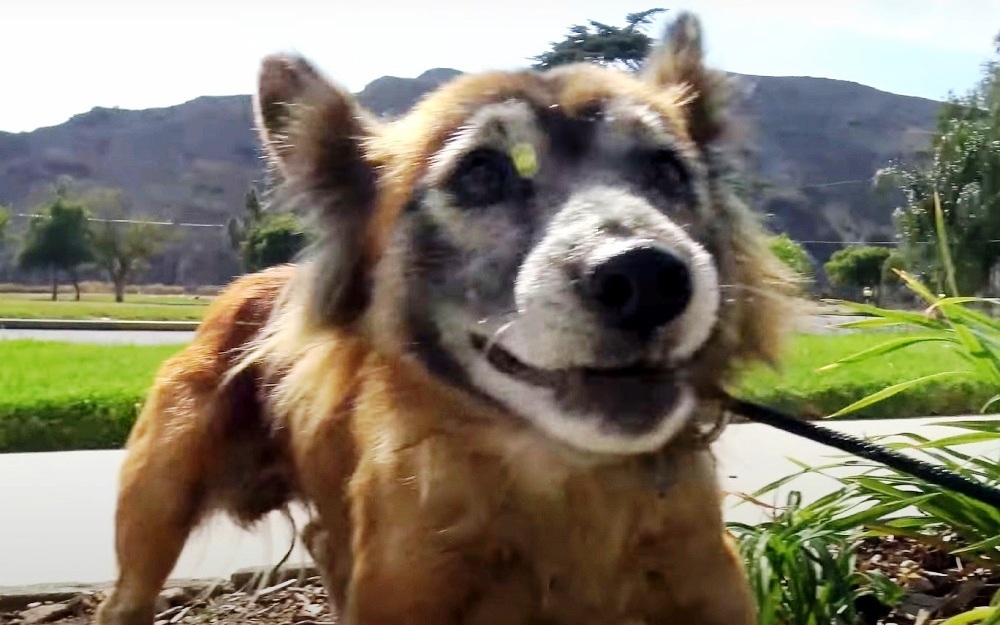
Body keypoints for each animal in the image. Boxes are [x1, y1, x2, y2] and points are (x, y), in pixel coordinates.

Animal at [95, 11, 796, 624]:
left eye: (666, 169)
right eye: (481, 173)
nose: (649, 278)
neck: (567, 484)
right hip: (157, 502)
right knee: (125, 598)